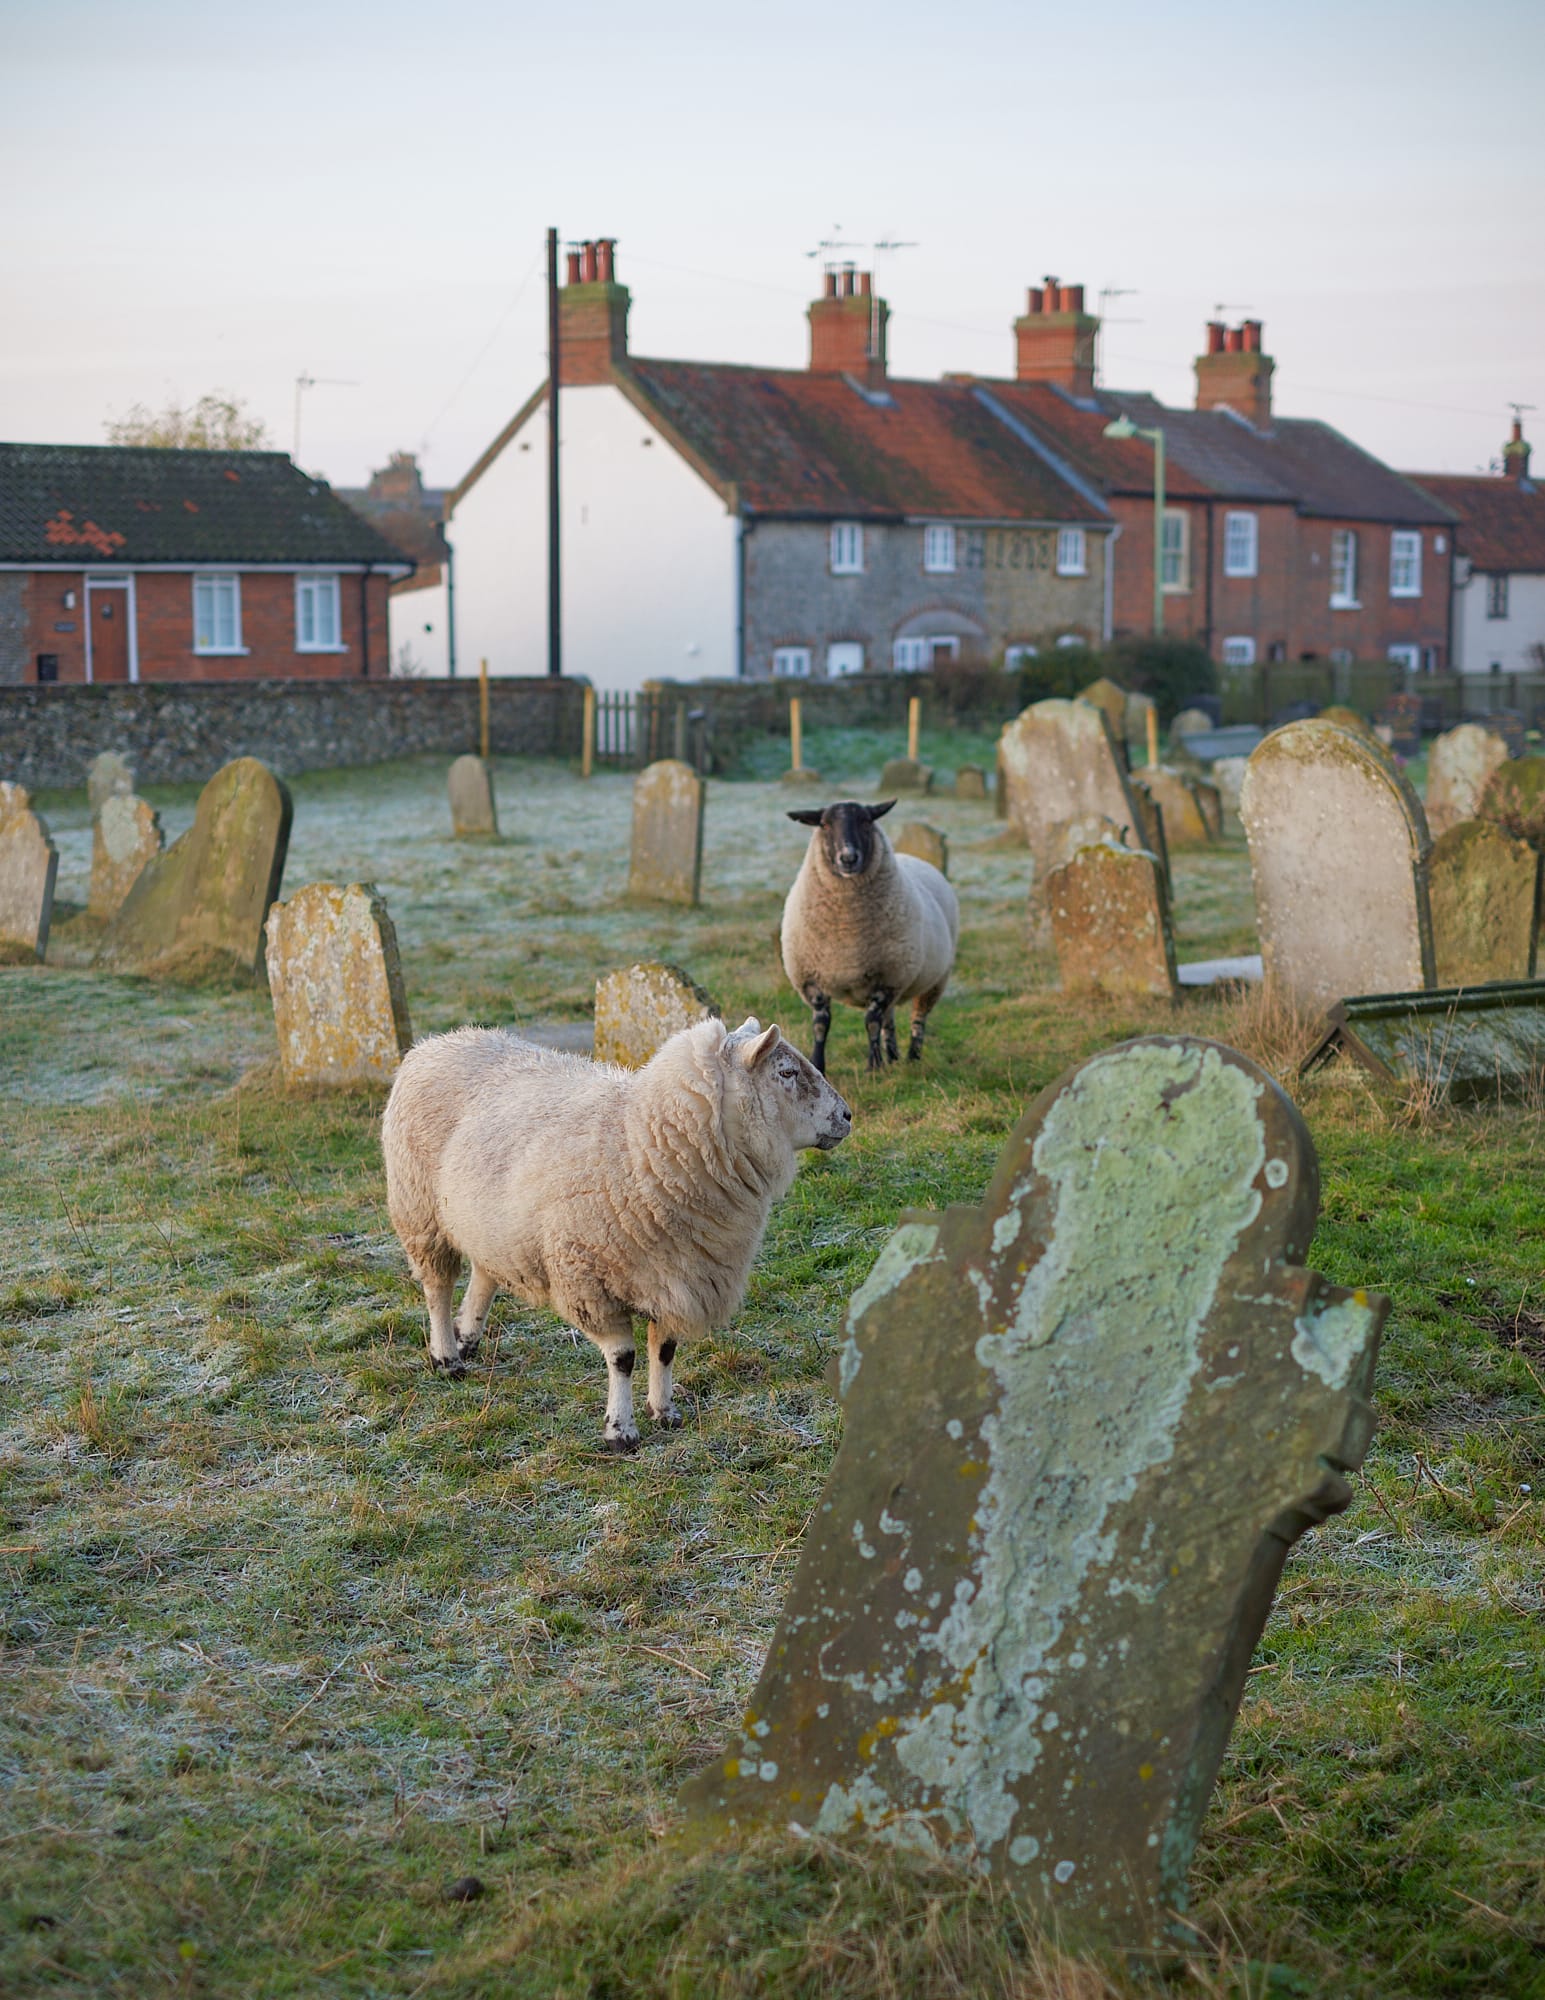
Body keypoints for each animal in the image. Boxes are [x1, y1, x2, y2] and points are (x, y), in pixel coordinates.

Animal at [380, 1016, 852, 1456]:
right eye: (786, 1072)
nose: (847, 1116)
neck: (640, 1143)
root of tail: (436, 1042)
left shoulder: (678, 1277)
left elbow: (664, 1350)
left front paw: (665, 1411)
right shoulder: (590, 1283)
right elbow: (623, 1358)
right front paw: (620, 1431)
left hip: (489, 1222)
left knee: (484, 1273)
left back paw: (468, 1337)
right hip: (420, 1211)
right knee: (437, 1287)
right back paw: (447, 1356)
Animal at [784, 800, 952, 1080]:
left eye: (866, 821)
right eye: (824, 824)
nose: (848, 858)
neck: (845, 927)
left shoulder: (887, 977)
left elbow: (871, 1022)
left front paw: (874, 1066)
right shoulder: (811, 979)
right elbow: (821, 1024)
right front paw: (818, 1064)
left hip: (934, 980)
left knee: (918, 1019)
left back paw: (912, 1057)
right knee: (890, 1020)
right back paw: (893, 1057)